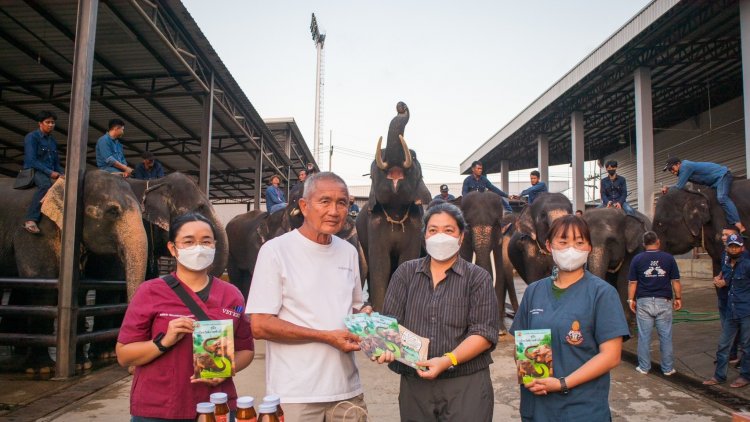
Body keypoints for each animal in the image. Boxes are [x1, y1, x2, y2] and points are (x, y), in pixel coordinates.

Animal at [0, 170, 148, 370]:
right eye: (113, 211)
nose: (132, 367)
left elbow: (81, 288)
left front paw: (82, 365)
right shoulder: (34, 231)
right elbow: (41, 280)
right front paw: (42, 368)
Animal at [356, 102, 432, 312]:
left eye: (413, 156)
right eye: (379, 156)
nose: (400, 106)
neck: (396, 210)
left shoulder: (416, 227)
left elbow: (407, 259)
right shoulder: (374, 226)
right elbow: (380, 263)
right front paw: (379, 310)